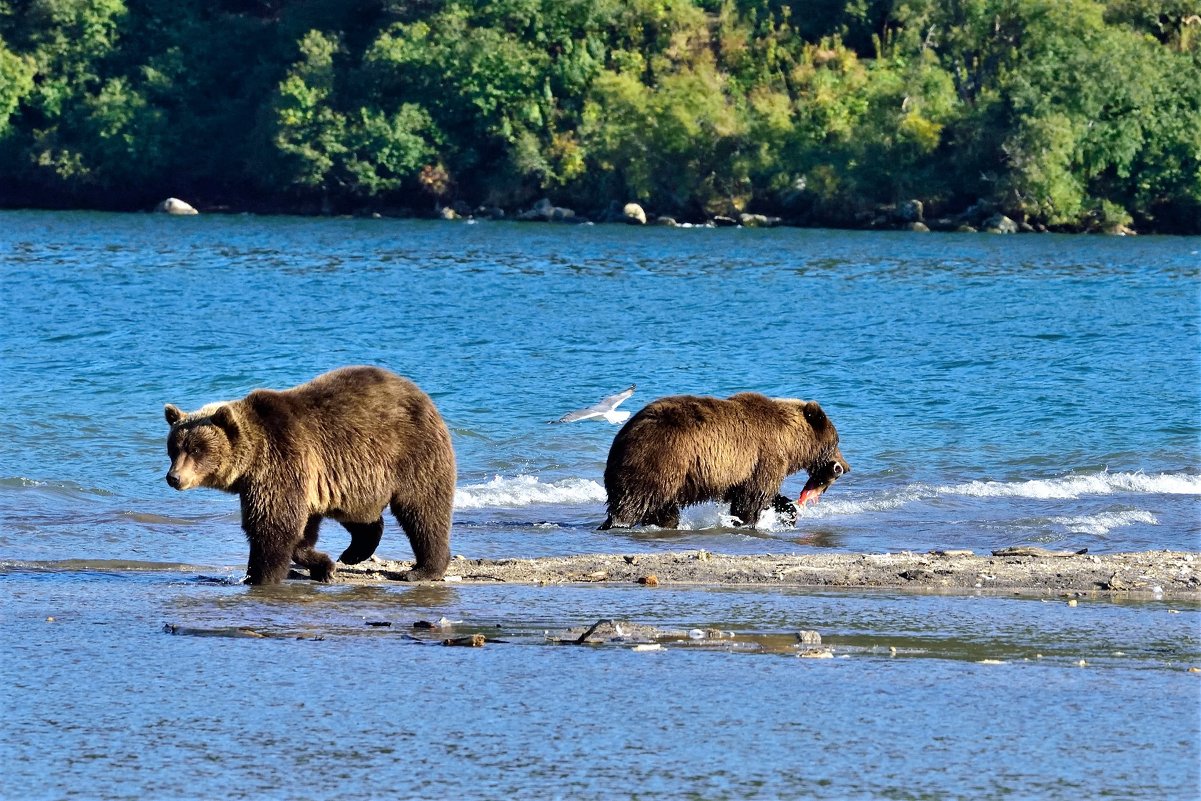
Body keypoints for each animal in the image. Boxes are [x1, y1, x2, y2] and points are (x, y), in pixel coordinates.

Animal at [164, 367, 453, 586]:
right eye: (174, 448)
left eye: (196, 449)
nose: (174, 478)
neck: (251, 462)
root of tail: (421, 394)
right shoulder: (296, 479)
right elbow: (301, 528)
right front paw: (323, 566)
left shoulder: (280, 461)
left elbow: (274, 524)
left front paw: (259, 576)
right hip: (356, 479)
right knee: (359, 514)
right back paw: (354, 552)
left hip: (410, 451)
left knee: (423, 508)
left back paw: (423, 569)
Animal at [598, 391, 845, 528]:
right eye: (836, 442)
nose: (843, 466)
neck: (790, 440)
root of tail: (622, 436)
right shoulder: (765, 455)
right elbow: (754, 497)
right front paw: (746, 521)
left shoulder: (744, 471)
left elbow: (763, 493)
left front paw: (789, 514)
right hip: (660, 458)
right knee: (633, 501)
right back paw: (616, 523)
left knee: (663, 507)